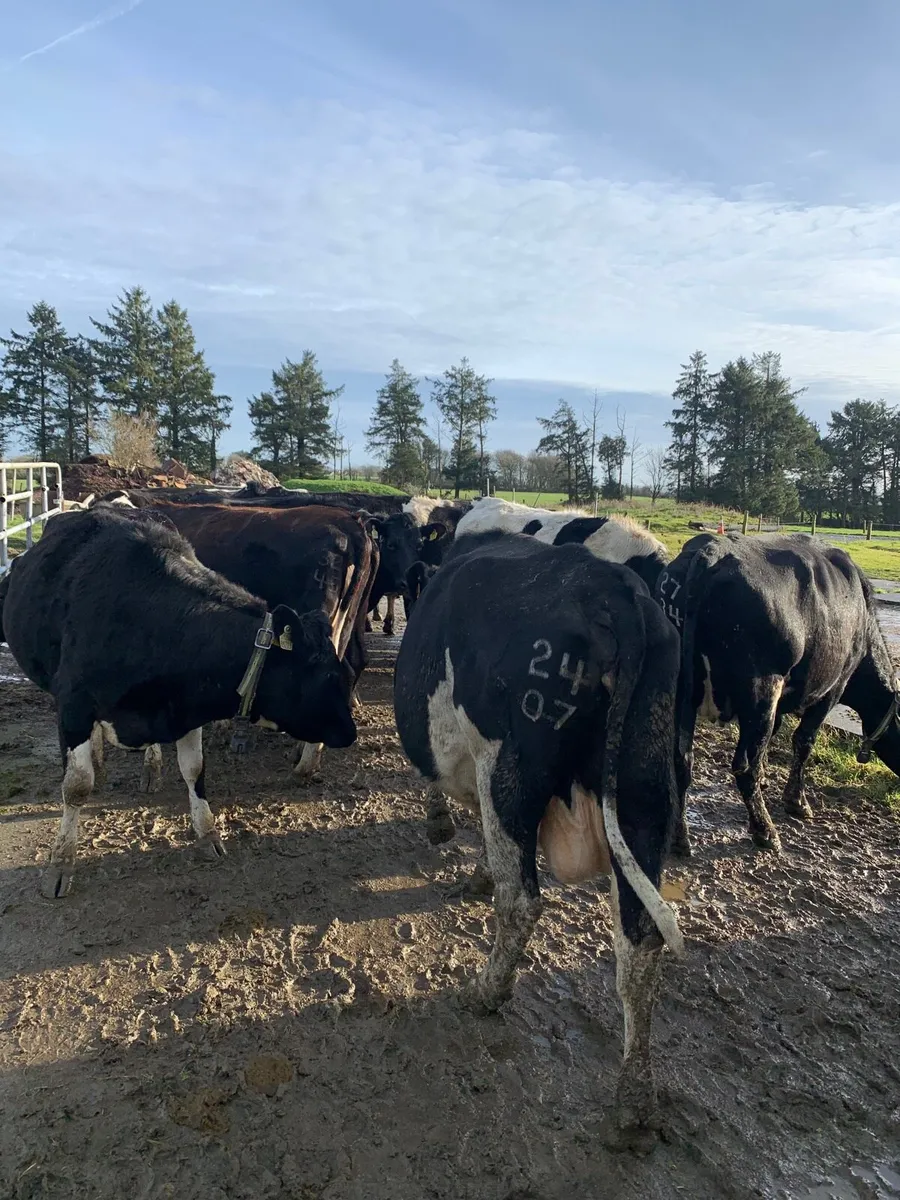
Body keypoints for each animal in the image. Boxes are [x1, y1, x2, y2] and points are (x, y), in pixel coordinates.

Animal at [0, 504, 356, 898]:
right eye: (328, 677)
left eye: (347, 674)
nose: (351, 732)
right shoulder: (74, 706)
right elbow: (76, 785)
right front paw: (61, 863)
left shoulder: (186, 707)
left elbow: (195, 769)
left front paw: (207, 833)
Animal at [393, 531, 684, 1145]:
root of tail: (611, 588)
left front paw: (445, 832)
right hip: (644, 788)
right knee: (640, 941)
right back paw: (635, 1100)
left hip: (511, 769)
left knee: (522, 900)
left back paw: (485, 991)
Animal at [657, 532, 900, 853]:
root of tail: (712, 549)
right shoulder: (833, 688)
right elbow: (803, 741)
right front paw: (796, 801)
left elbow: (773, 739)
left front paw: (768, 782)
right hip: (762, 690)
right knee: (744, 765)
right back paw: (765, 830)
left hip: (684, 692)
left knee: (682, 761)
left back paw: (680, 836)